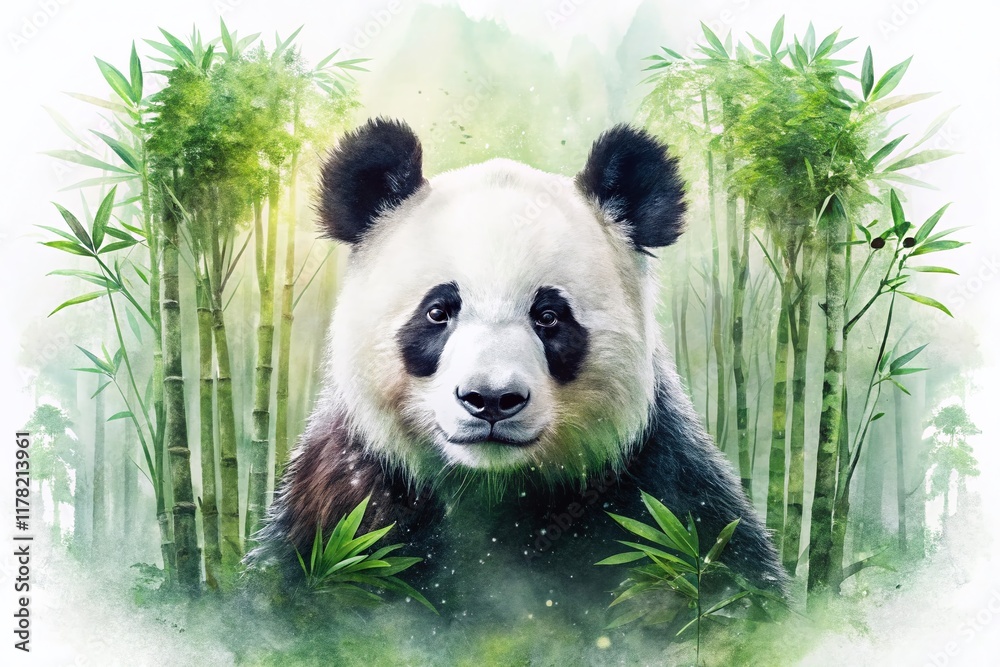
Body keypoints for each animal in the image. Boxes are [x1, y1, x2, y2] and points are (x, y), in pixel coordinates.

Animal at [253, 117, 786, 612]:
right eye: (438, 311)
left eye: (548, 316)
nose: (491, 400)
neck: (494, 488)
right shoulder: (346, 500)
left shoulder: (661, 493)